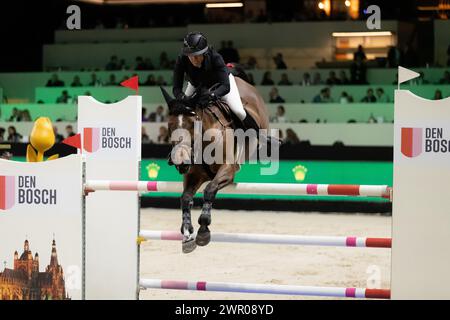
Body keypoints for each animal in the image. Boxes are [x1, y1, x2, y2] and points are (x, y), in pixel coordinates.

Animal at [163, 74, 270, 254]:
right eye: (170, 126)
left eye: (192, 123)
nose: (181, 161)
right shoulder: (194, 175)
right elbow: (185, 198)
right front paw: (187, 232)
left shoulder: (227, 169)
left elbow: (210, 189)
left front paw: (203, 229)